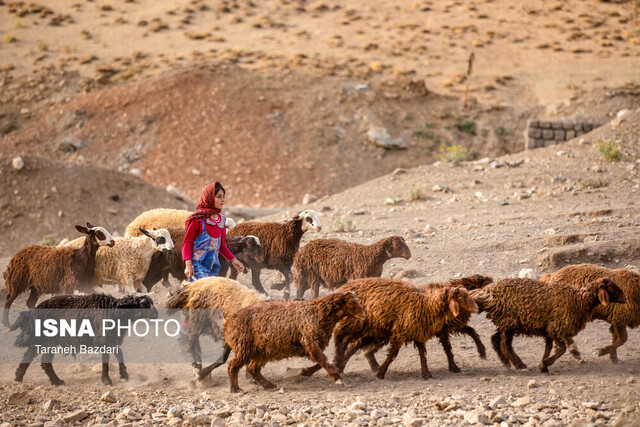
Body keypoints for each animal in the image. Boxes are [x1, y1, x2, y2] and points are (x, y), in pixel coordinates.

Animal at [11, 294, 156, 388]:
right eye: (143, 303)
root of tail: (33, 313)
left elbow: (119, 354)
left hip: (43, 340)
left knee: (29, 355)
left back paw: (18, 378)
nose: (156, 314)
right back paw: (56, 381)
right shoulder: (102, 338)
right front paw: (107, 380)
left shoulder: (111, 338)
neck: (114, 311)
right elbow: (106, 359)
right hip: (49, 339)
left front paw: (124, 375)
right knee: (44, 360)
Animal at [225, 292, 364, 392]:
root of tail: (231, 321)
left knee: (252, 369)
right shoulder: (309, 341)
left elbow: (322, 362)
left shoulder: (313, 345)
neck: (318, 312)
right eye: (350, 302)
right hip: (244, 347)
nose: (363, 316)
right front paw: (337, 378)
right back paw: (235, 388)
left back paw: (269, 385)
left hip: (261, 351)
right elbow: (323, 361)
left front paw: (304, 371)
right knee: (232, 365)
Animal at [302, 278, 478, 382]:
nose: (476, 306)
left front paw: (426, 374)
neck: (427, 303)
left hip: (364, 328)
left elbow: (423, 354)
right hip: (353, 322)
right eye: (462, 297)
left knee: (347, 343)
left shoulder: (418, 331)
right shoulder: (400, 331)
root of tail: (346, 286)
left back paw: (338, 364)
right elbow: (393, 354)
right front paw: (381, 373)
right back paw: (337, 361)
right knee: (339, 337)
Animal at [472, 278, 624, 374]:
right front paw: (545, 364)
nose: (625, 298)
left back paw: (506, 362)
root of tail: (487, 292)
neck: (578, 300)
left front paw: (543, 365)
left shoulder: (550, 329)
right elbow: (561, 349)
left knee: (495, 339)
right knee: (505, 344)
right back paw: (519, 365)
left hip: (505, 322)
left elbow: (549, 347)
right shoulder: (557, 327)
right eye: (611, 287)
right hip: (509, 322)